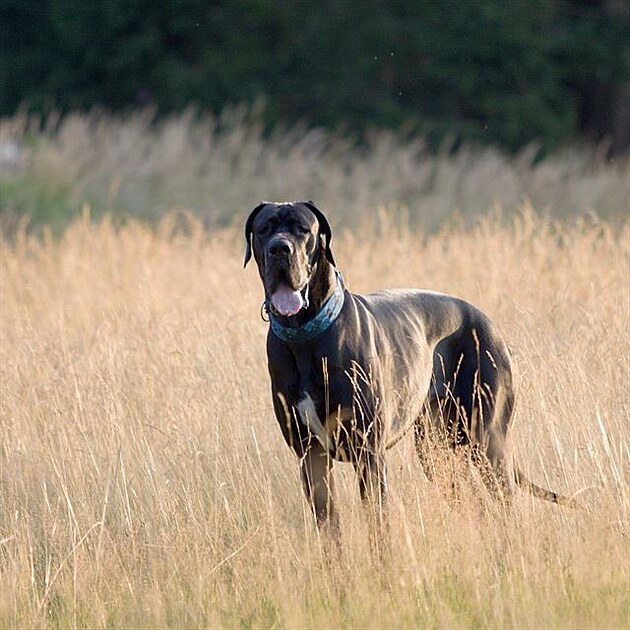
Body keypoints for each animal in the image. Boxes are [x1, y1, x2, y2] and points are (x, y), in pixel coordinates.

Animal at [244, 200, 576, 536]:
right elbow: (330, 531)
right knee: (476, 504)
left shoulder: (369, 453)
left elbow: (379, 527)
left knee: (506, 504)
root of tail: (488, 322)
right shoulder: (310, 455)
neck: (306, 335)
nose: (279, 248)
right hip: (436, 451)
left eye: (303, 229)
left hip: (488, 439)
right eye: (264, 229)